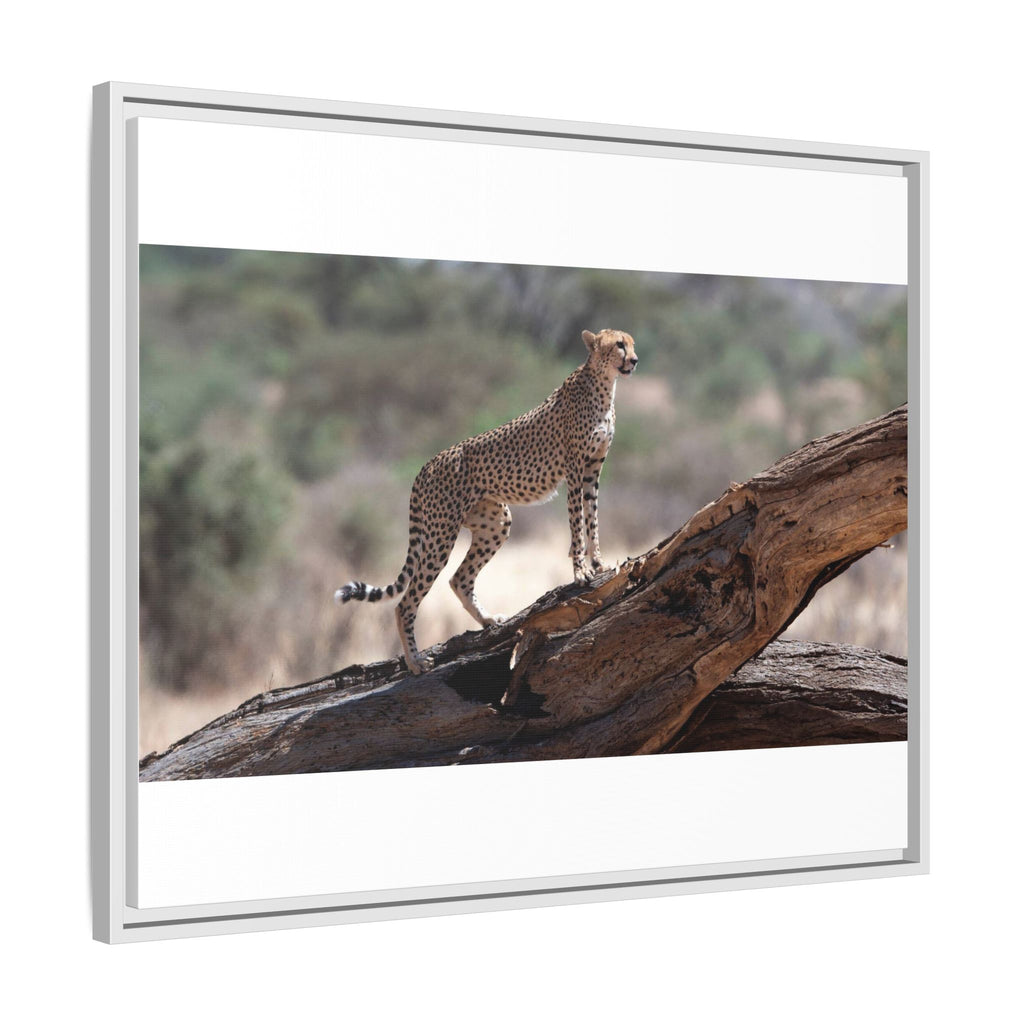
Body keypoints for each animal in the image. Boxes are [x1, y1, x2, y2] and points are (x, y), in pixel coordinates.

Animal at [334, 328, 638, 674]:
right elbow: (577, 523)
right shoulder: (574, 469)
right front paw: (581, 571)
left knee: (459, 579)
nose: (634, 360)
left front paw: (599, 563)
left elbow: (592, 518)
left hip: (495, 523)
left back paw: (489, 620)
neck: (604, 384)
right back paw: (415, 661)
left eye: (631, 343)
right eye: (619, 345)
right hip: (440, 534)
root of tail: (427, 464)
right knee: (406, 601)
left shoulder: (592, 470)